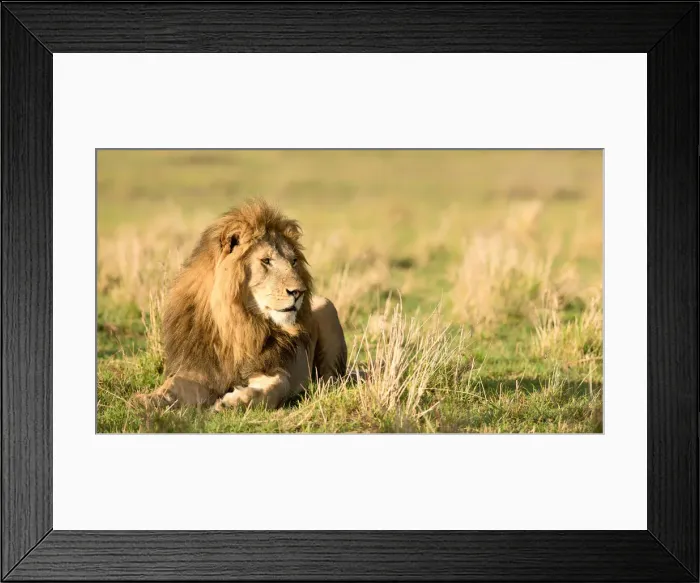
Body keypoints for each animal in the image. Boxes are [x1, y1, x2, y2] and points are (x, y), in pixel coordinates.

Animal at [134, 200, 347, 411]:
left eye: (294, 261)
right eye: (266, 261)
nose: (299, 292)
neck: (237, 323)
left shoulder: (271, 367)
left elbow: (275, 387)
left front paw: (233, 402)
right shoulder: (199, 370)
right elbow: (172, 384)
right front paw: (147, 399)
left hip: (327, 307)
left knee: (331, 377)